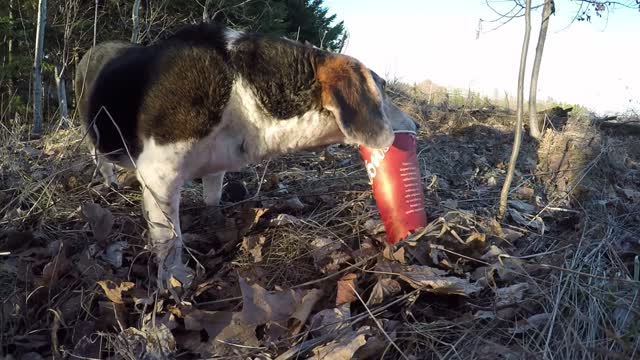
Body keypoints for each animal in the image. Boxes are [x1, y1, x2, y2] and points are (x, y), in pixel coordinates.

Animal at [75, 23, 418, 290]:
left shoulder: (215, 164)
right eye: (382, 88)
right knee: (100, 158)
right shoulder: (159, 173)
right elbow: (170, 237)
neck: (241, 89)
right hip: (92, 130)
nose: (415, 126)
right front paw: (175, 279)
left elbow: (212, 199)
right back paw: (110, 184)